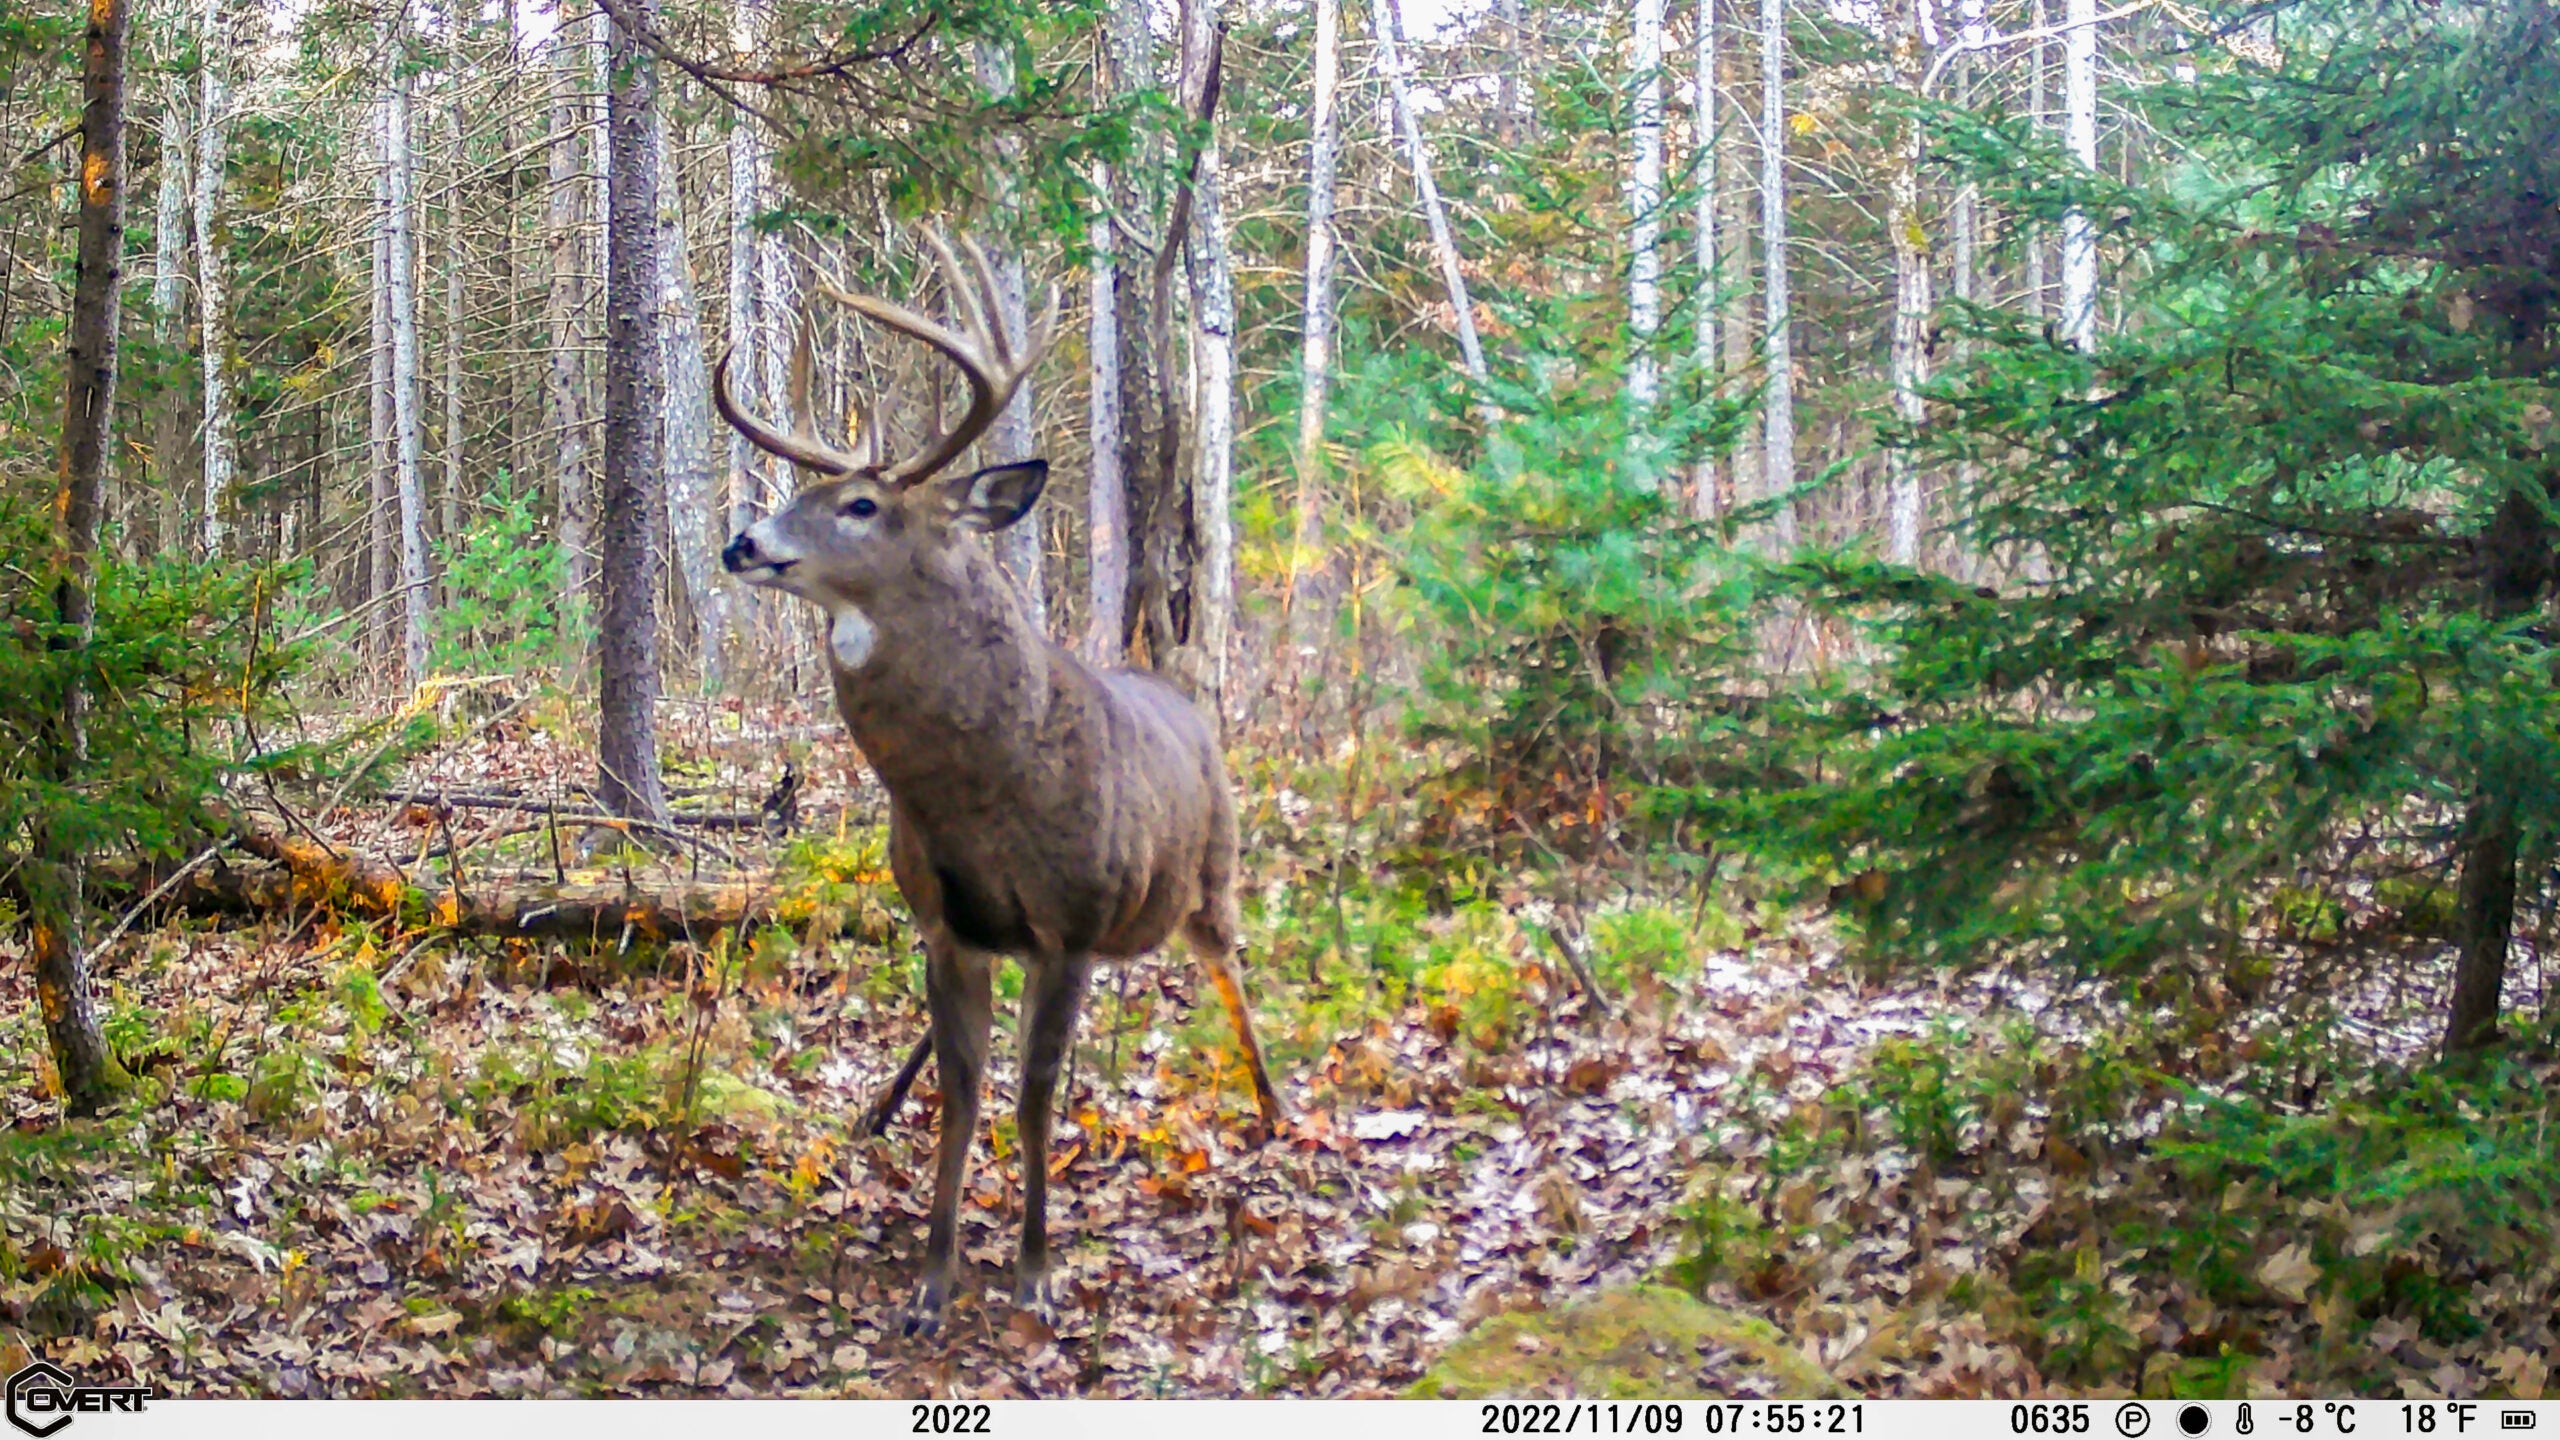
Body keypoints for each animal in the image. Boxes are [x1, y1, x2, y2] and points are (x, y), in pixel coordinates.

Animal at [716, 233, 1280, 1332]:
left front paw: (1035, 1275)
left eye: (861, 504)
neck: (984, 794)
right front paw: (931, 1286)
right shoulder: (945, 924)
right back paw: (879, 1109)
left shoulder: (1073, 925)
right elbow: (966, 1097)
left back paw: (1277, 1110)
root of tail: (1181, 689)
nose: (744, 542)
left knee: (1233, 970)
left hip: (1212, 871)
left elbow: (1032, 1097)